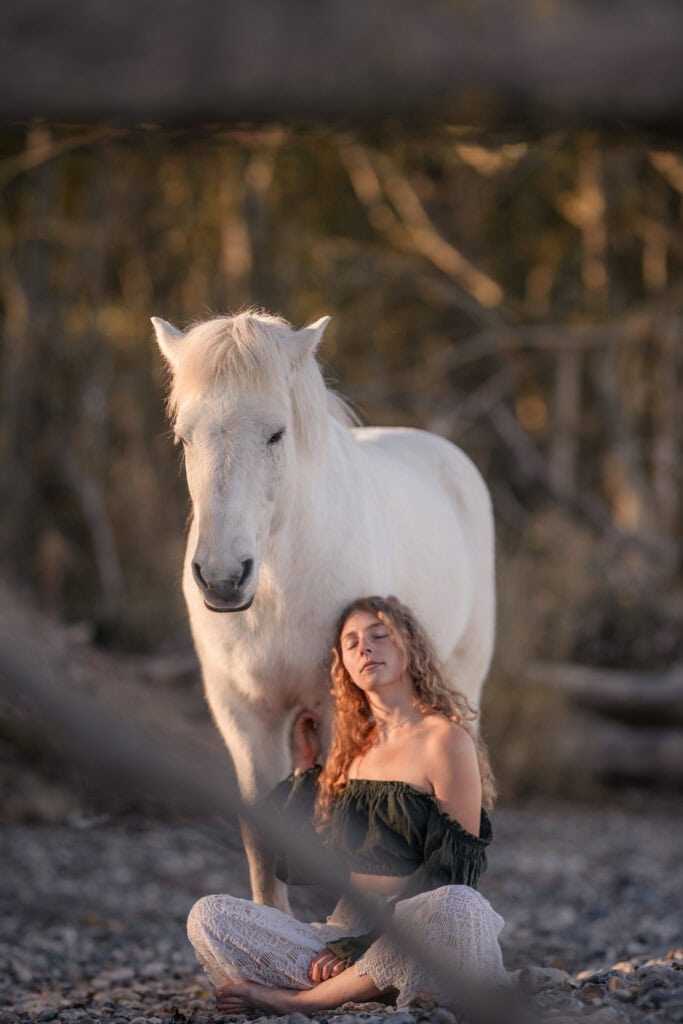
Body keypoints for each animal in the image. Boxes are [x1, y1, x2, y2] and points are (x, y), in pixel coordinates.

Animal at [153, 310, 495, 912]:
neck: (278, 588)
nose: (222, 578)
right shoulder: (245, 718)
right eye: (184, 436)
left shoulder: (342, 713)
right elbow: (263, 840)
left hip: (463, 675)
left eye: (275, 433)